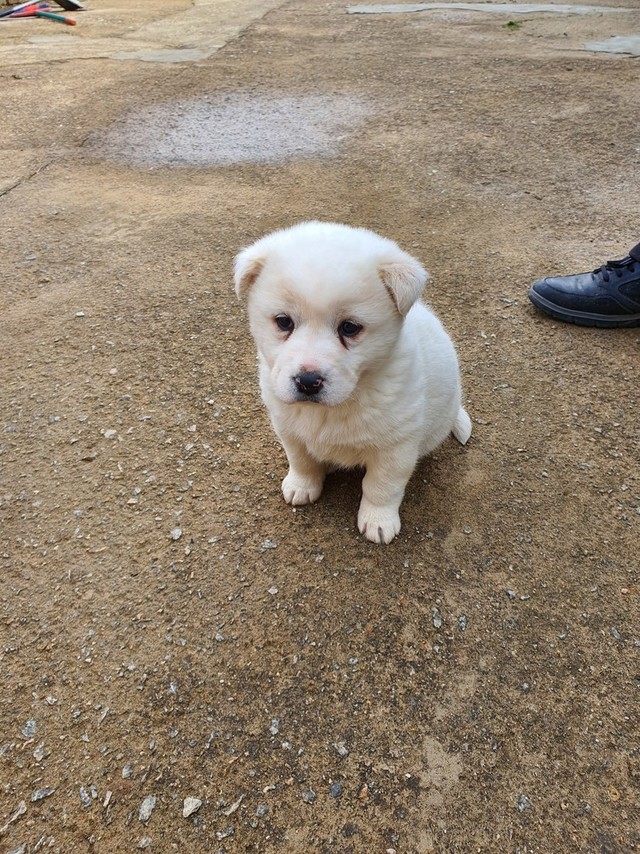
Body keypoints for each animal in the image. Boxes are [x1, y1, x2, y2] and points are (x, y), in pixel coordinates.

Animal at [234, 221, 471, 544]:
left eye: (349, 328)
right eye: (283, 322)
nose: (308, 381)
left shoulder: (396, 447)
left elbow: (381, 486)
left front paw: (378, 520)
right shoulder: (288, 429)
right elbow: (301, 461)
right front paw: (302, 485)